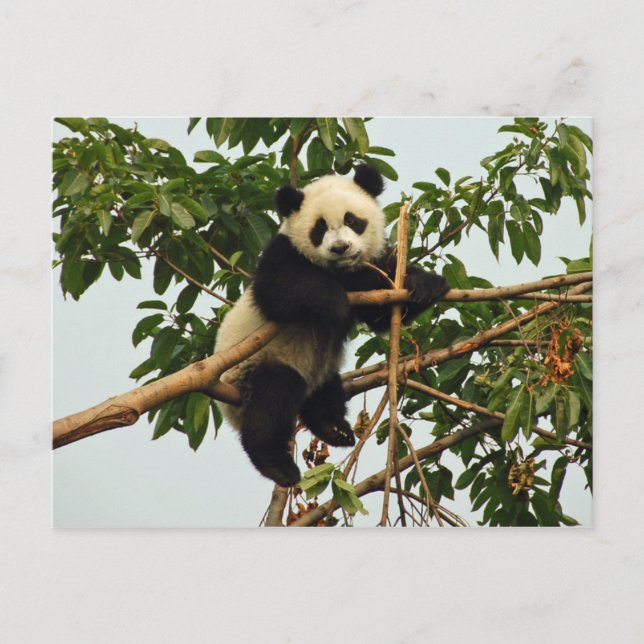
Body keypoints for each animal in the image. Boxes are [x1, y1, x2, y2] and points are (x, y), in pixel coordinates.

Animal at [214, 165, 449, 487]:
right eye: (320, 228)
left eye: (352, 220)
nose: (340, 248)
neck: (340, 271)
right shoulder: (283, 252)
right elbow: (277, 289)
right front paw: (334, 302)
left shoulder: (370, 272)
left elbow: (381, 310)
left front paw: (425, 283)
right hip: (249, 370)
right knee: (272, 397)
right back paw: (277, 465)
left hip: (321, 370)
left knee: (325, 394)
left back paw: (334, 429)